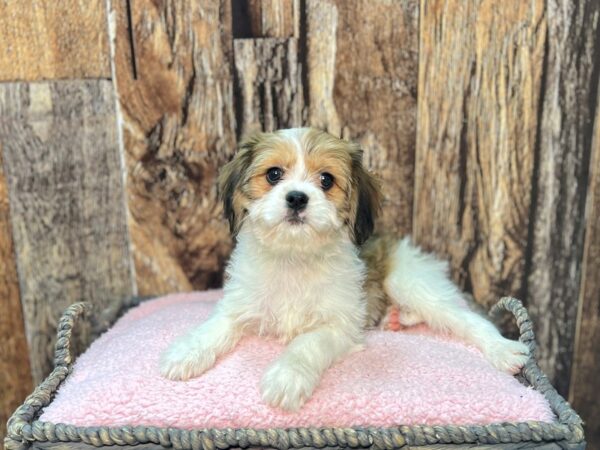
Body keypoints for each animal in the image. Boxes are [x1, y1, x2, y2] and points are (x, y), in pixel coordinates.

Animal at [161, 126, 528, 412]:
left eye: (326, 180)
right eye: (274, 175)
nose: (297, 198)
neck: (294, 257)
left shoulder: (339, 325)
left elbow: (306, 345)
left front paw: (287, 377)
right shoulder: (237, 306)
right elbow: (212, 328)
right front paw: (184, 353)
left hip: (409, 282)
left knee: (465, 319)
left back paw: (503, 349)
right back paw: (396, 318)